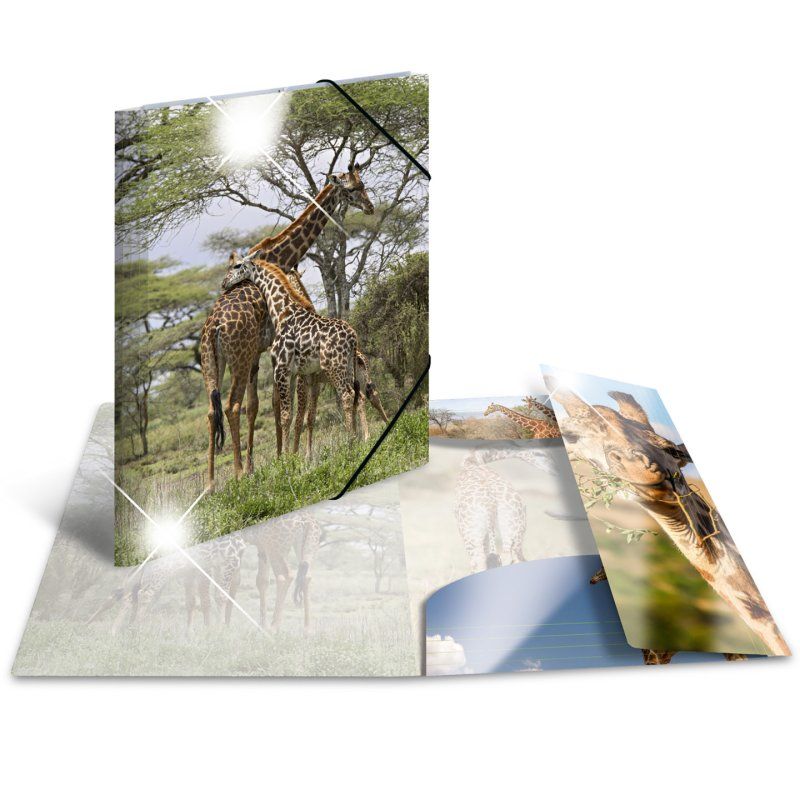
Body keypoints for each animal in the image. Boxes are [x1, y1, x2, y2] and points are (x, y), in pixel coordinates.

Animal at [222, 252, 363, 451]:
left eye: (236, 265)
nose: (224, 283)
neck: (282, 312)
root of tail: (353, 336)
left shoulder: (281, 369)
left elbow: (286, 415)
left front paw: (288, 456)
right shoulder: (295, 373)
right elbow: (293, 415)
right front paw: (292, 454)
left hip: (334, 366)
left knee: (347, 395)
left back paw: (351, 442)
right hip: (348, 366)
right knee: (357, 396)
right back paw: (358, 439)